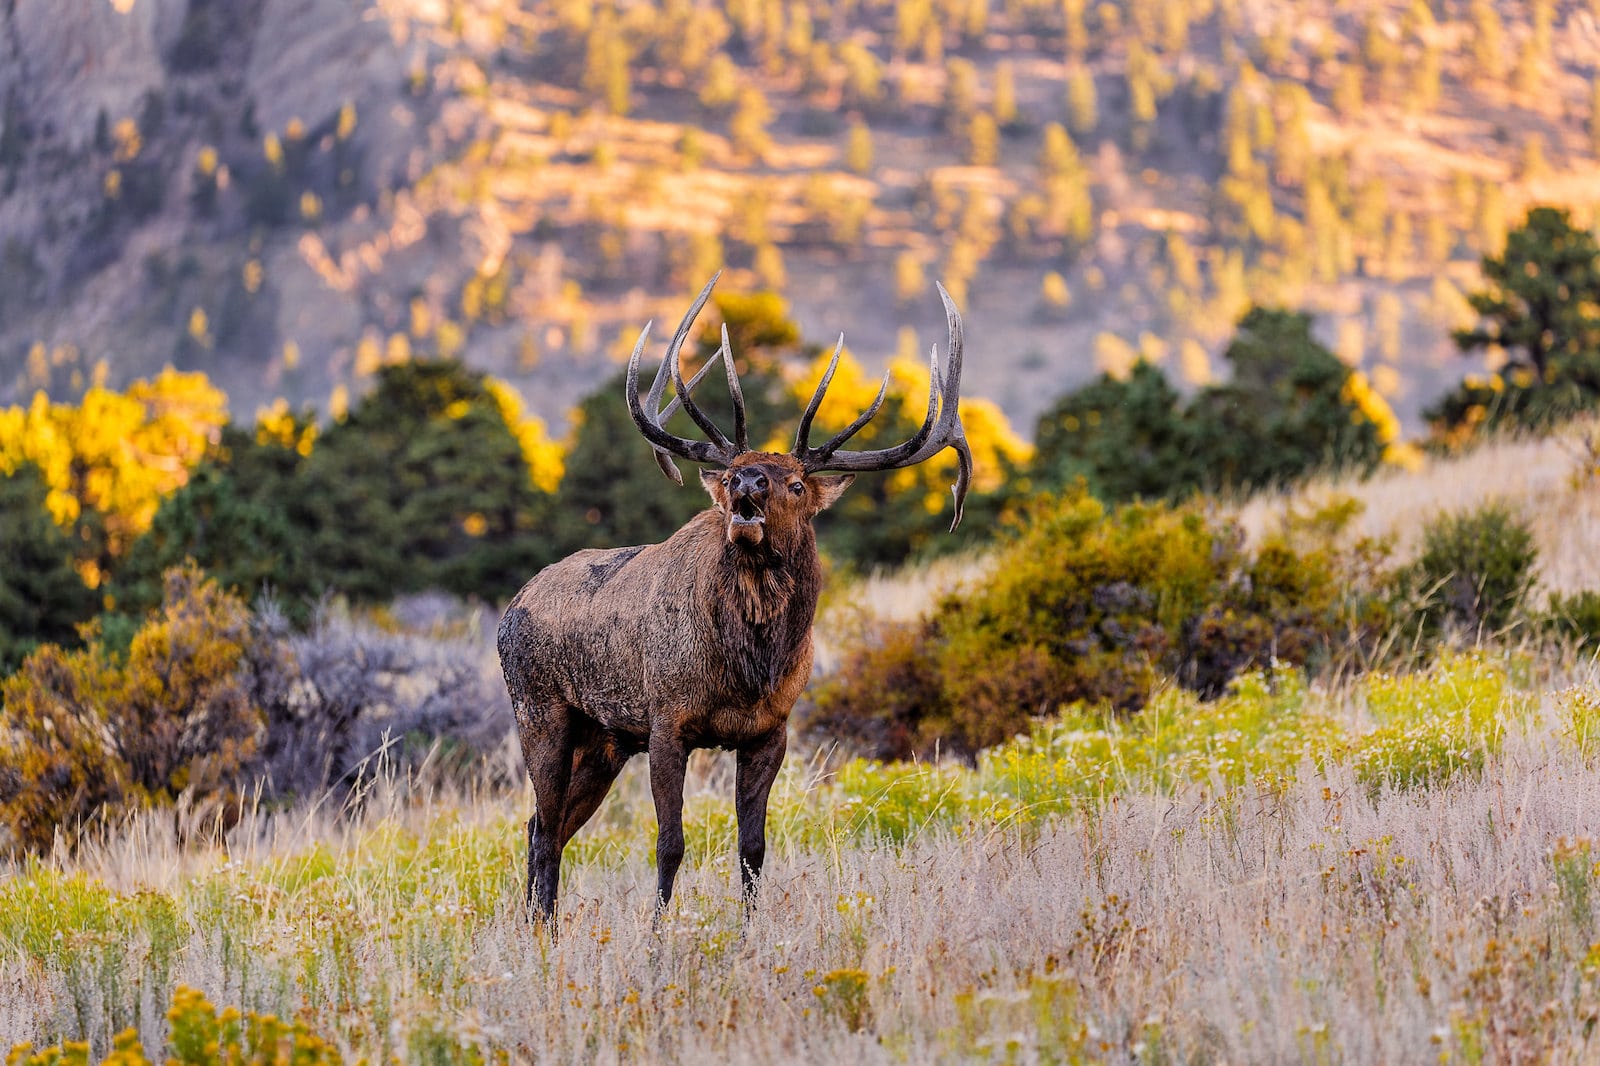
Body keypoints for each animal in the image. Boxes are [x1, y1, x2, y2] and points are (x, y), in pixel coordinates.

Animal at [499, 273, 972, 915]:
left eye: (795, 483)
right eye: (728, 476)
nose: (748, 481)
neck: (750, 668)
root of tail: (508, 610)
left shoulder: (771, 731)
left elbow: (752, 848)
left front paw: (750, 930)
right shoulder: (667, 722)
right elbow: (670, 844)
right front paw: (658, 932)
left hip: (604, 741)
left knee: (540, 828)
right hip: (542, 712)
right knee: (545, 831)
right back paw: (542, 931)